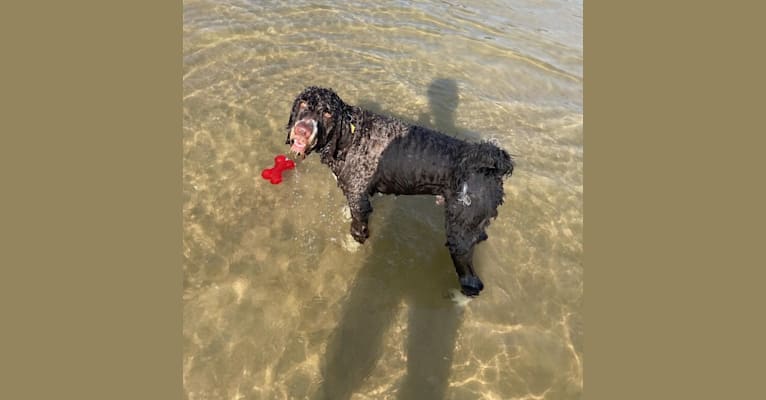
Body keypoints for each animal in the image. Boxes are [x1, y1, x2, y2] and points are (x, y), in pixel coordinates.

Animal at [284, 86, 512, 296]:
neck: (350, 136)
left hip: (459, 233)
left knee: (472, 281)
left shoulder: (359, 201)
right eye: (303, 104)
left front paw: (350, 247)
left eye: (328, 113)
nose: (302, 130)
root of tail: (493, 168)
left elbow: (357, 231)